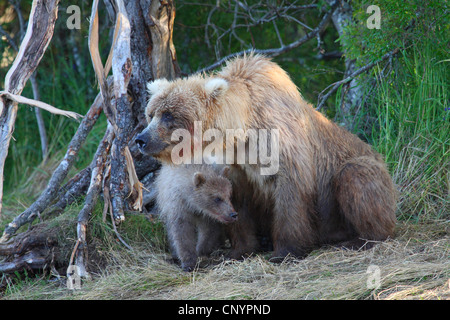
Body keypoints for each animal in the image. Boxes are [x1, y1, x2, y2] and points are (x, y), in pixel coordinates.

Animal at [135, 53, 396, 260]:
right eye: (151, 113)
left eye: (169, 114)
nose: (141, 139)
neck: (243, 130)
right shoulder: (234, 163)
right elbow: (237, 201)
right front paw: (239, 250)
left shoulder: (282, 145)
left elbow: (291, 197)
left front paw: (285, 251)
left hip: (357, 174)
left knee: (356, 178)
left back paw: (360, 239)